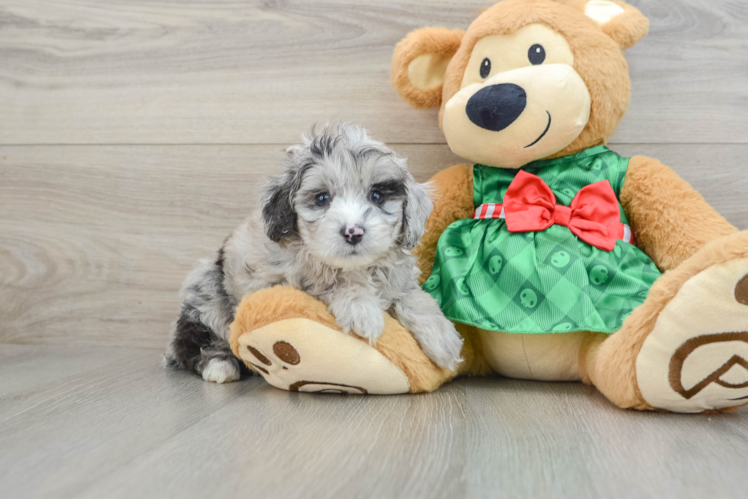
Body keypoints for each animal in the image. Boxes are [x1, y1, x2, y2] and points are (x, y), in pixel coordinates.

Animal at [165, 124, 462, 382]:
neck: (358, 267)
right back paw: (220, 365)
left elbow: (415, 298)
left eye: (377, 196)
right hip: (207, 291)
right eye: (322, 198)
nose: (353, 232)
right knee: (194, 340)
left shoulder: (398, 277)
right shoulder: (278, 280)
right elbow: (329, 282)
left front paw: (443, 338)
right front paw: (362, 310)